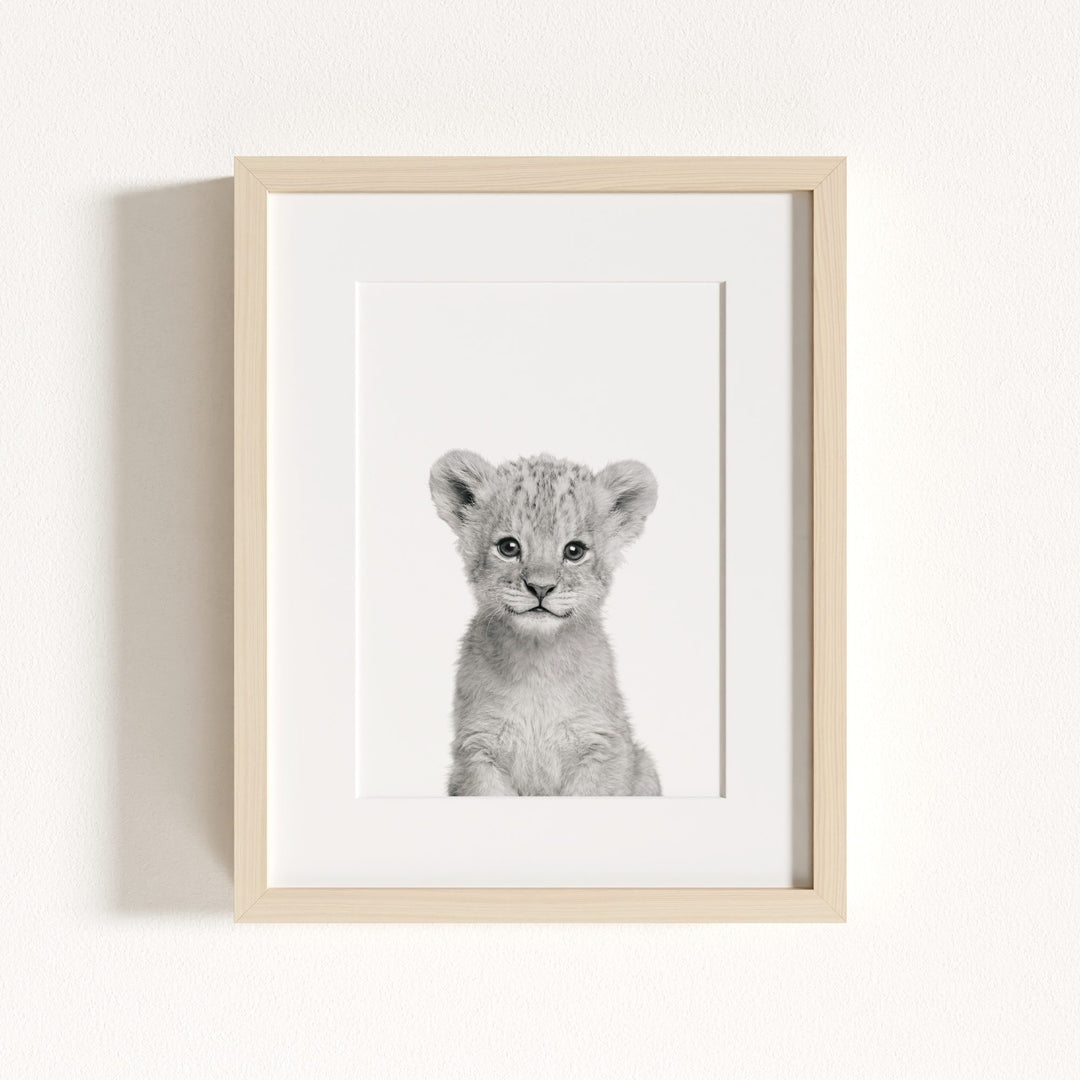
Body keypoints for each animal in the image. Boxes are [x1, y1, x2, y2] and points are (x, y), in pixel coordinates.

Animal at [429, 450, 661, 796]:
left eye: (574, 551)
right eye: (509, 547)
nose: (540, 588)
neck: (537, 663)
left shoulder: (603, 747)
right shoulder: (477, 750)